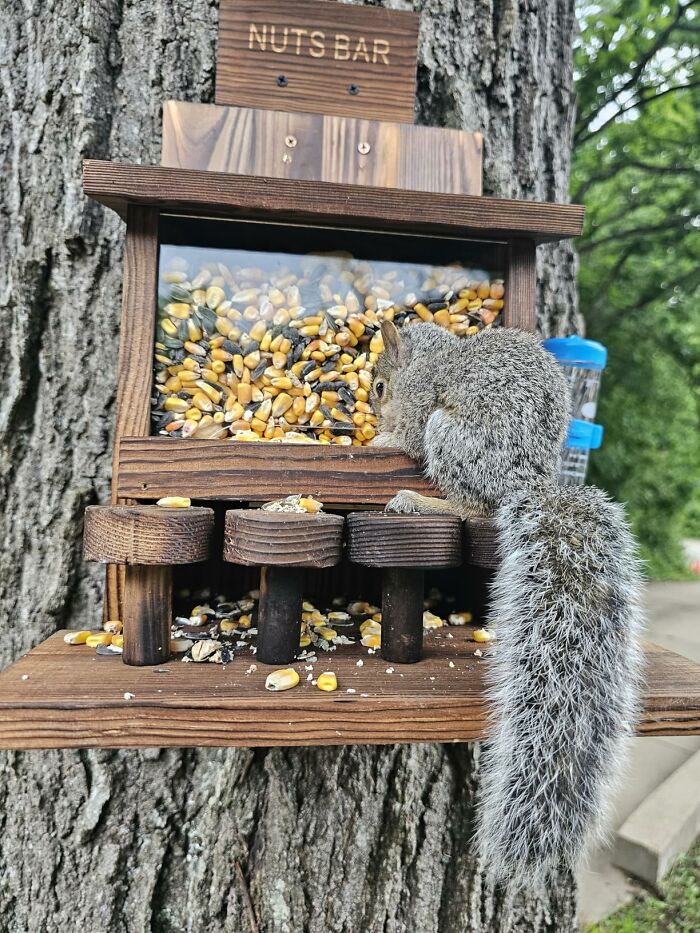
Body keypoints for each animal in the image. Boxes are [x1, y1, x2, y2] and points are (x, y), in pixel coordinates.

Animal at [371, 320, 644, 889]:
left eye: (381, 386)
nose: (373, 414)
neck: (428, 356)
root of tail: (525, 480)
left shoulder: (420, 402)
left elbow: (407, 437)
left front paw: (382, 437)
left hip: (449, 435)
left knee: (471, 505)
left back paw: (419, 500)